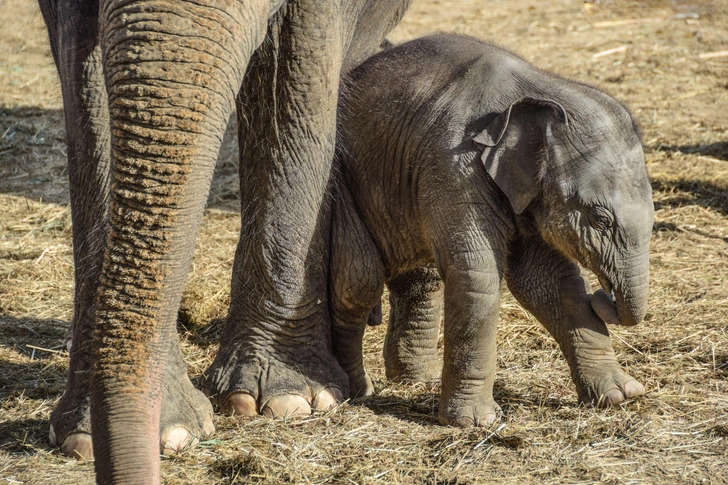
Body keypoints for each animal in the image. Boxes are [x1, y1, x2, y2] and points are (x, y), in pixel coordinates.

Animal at [330, 34, 656, 426]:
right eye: (600, 219)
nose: (603, 295)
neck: (543, 90)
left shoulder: (522, 192)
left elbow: (548, 280)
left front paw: (622, 395)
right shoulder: (452, 165)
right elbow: (478, 273)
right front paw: (476, 422)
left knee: (420, 279)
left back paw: (415, 380)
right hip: (341, 180)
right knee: (357, 280)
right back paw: (357, 392)